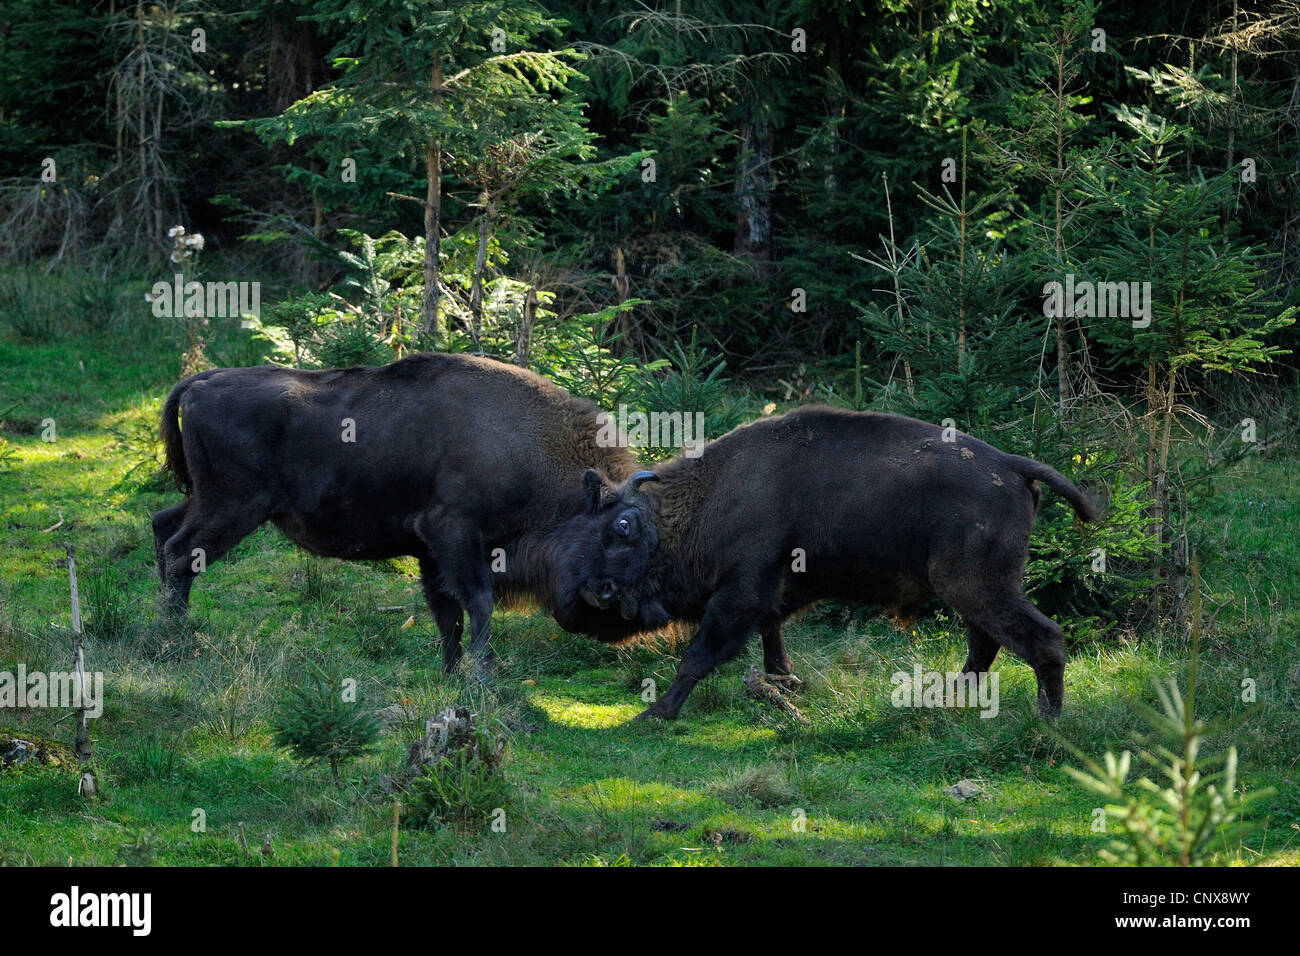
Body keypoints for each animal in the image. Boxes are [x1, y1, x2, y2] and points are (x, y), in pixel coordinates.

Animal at [154, 348, 647, 671]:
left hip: (206, 500)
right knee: (182, 553)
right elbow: (477, 602)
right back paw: (178, 635)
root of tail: (201, 381)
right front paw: (482, 676)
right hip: (232, 508)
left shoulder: (432, 551)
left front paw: (450, 673)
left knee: (163, 527)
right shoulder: (455, 535)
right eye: (620, 526)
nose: (611, 597)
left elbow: (448, 614)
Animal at [569, 408, 1097, 723]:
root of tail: (1011, 465)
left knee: (1041, 639)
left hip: (975, 585)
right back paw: (944, 701)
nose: (596, 590)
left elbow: (700, 654)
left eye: (622, 527)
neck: (713, 494)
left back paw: (1048, 720)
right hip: (973, 590)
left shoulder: (740, 591)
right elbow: (772, 637)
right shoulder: (778, 592)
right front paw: (784, 683)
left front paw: (655, 713)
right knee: (985, 645)